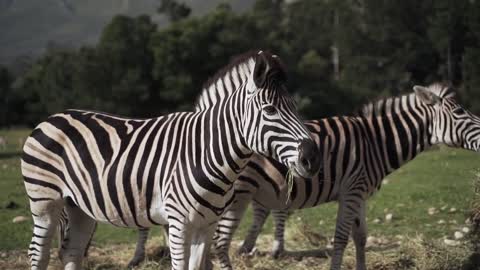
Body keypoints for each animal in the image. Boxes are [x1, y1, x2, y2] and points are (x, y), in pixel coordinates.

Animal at [23, 51, 322, 270]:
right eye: (270, 110)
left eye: (295, 108)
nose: (313, 158)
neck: (207, 154)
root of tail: (53, 117)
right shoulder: (178, 223)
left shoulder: (206, 225)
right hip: (45, 203)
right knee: (38, 253)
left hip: (79, 208)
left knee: (71, 252)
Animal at [126, 83, 480, 268]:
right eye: (460, 111)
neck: (375, 141)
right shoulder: (352, 190)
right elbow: (341, 238)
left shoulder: (360, 192)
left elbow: (361, 237)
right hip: (231, 198)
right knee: (217, 242)